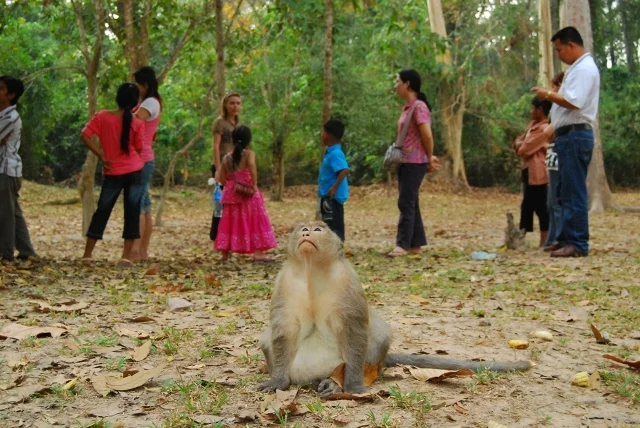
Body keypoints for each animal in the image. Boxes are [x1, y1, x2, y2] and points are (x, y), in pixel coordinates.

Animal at [257, 221, 532, 397]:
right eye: (302, 228)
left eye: (318, 229)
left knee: (377, 336)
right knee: (267, 339)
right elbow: (282, 331)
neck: (311, 267)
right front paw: (278, 380)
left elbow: (355, 329)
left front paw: (352, 386)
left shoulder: (348, 281)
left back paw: (334, 382)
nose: (306, 231)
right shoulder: (284, 283)